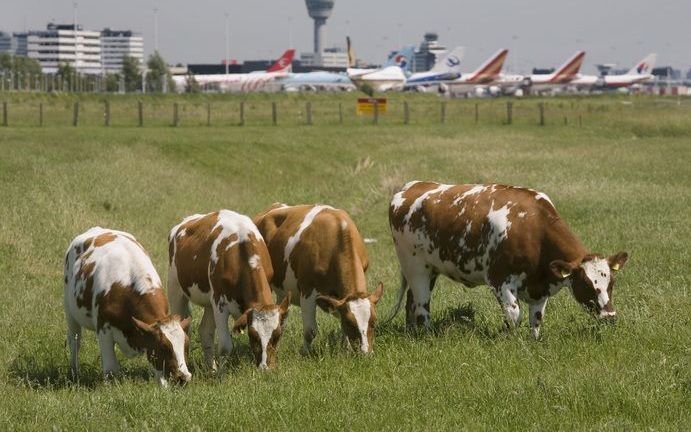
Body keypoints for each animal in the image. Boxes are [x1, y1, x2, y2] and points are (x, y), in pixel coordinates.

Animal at [64, 228, 192, 386]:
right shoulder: (104, 329)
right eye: (164, 347)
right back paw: (74, 374)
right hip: (69, 310)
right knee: (74, 340)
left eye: (186, 345)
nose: (183, 377)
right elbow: (111, 369)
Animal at [169, 211, 290, 370]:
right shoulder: (219, 303)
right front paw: (222, 373)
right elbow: (225, 346)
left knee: (205, 331)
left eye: (277, 335)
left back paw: (212, 368)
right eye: (253, 335)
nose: (265, 367)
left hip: (209, 303)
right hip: (175, 290)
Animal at [254, 203, 384, 354]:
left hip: (282, 290)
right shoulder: (307, 289)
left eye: (373, 322)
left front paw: (346, 349)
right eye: (350, 323)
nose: (366, 353)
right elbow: (310, 331)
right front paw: (305, 353)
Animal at [386, 181, 628, 340]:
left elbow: (536, 318)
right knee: (421, 305)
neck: (533, 228)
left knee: (411, 301)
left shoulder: (540, 286)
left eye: (612, 284)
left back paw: (411, 331)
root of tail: (411, 186)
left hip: (429, 269)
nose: (610, 316)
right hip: (415, 267)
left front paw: (533, 341)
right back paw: (425, 335)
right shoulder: (499, 279)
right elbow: (514, 314)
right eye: (586, 285)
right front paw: (508, 341)